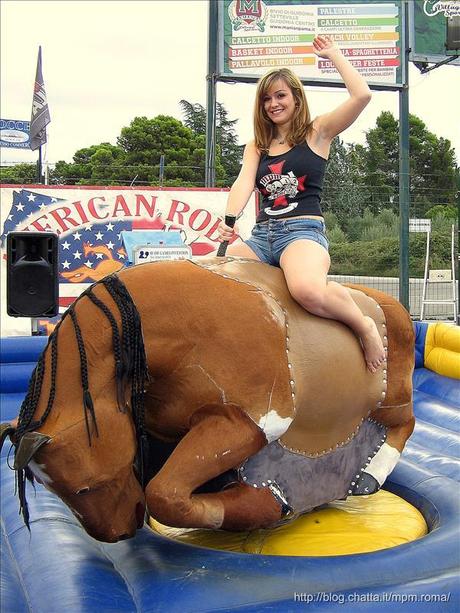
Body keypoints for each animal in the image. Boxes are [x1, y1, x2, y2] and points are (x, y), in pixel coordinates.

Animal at [0, 256, 416, 540]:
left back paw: (369, 476)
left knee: (404, 422)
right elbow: (163, 488)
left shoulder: (250, 420)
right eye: (50, 489)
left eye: (83, 486)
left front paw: (260, 508)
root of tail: (389, 302)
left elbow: (165, 494)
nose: (117, 534)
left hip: (392, 396)